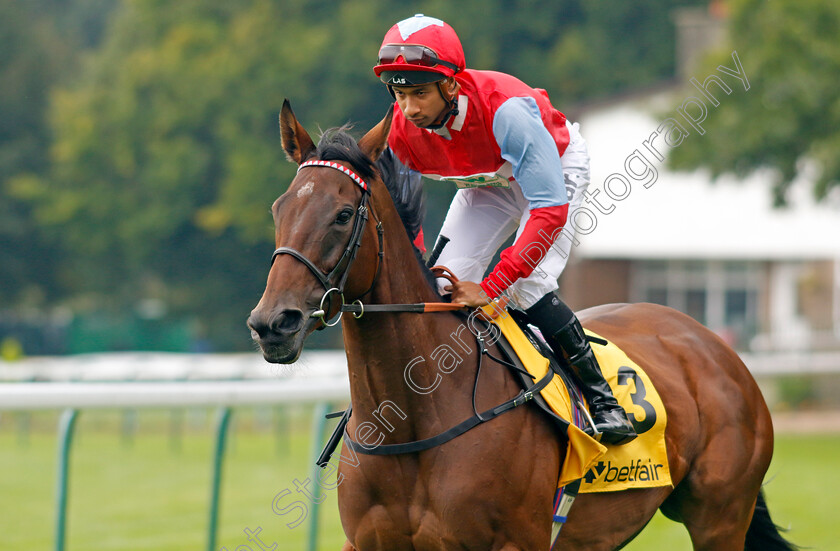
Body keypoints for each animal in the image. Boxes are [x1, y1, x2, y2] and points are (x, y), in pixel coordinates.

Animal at [248, 101, 796, 548]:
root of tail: (709, 342)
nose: (272, 323)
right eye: (279, 208)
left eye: (343, 214)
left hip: (721, 516)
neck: (411, 421)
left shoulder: (516, 541)